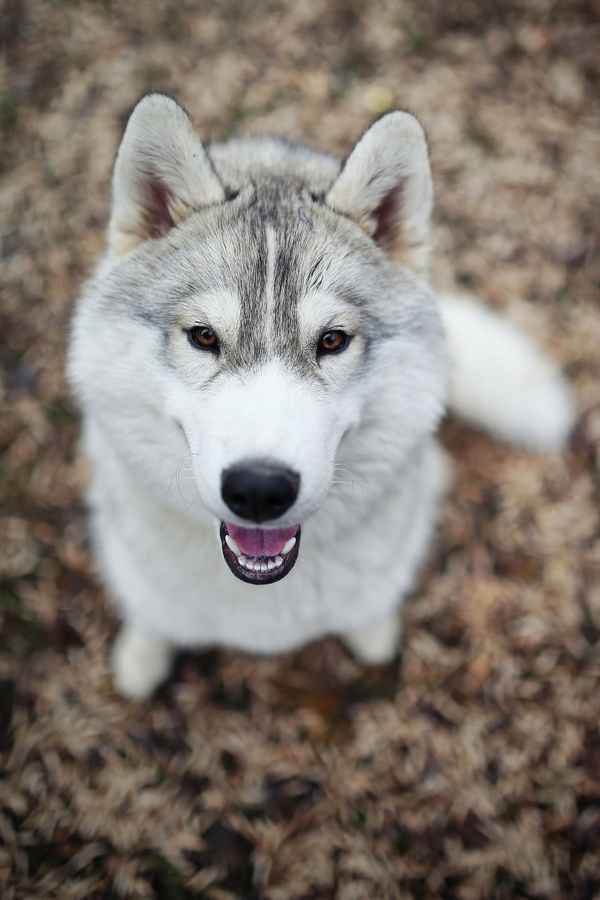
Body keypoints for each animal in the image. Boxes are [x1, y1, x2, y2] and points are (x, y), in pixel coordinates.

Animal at [68, 98, 576, 700]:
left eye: (332, 341)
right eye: (204, 336)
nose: (259, 489)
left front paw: (373, 633)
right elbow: (151, 613)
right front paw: (143, 655)